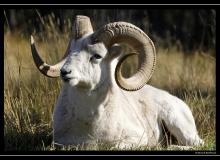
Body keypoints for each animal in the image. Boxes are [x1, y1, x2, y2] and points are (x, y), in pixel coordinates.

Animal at [30, 15, 204, 149]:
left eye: (97, 56)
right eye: (72, 51)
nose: (65, 72)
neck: (90, 125)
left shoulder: (135, 139)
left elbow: (115, 146)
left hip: (180, 127)